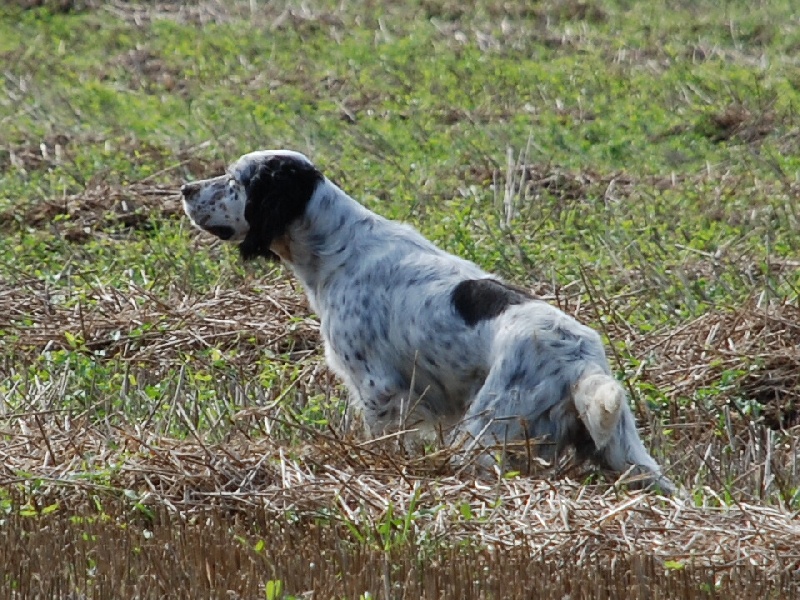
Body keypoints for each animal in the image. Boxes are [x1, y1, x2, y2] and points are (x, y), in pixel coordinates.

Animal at [181, 150, 676, 492]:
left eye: (235, 181)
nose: (184, 189)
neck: (337, 248)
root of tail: (581, 359)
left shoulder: (377, 389)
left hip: (485, 432)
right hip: (624, 450)